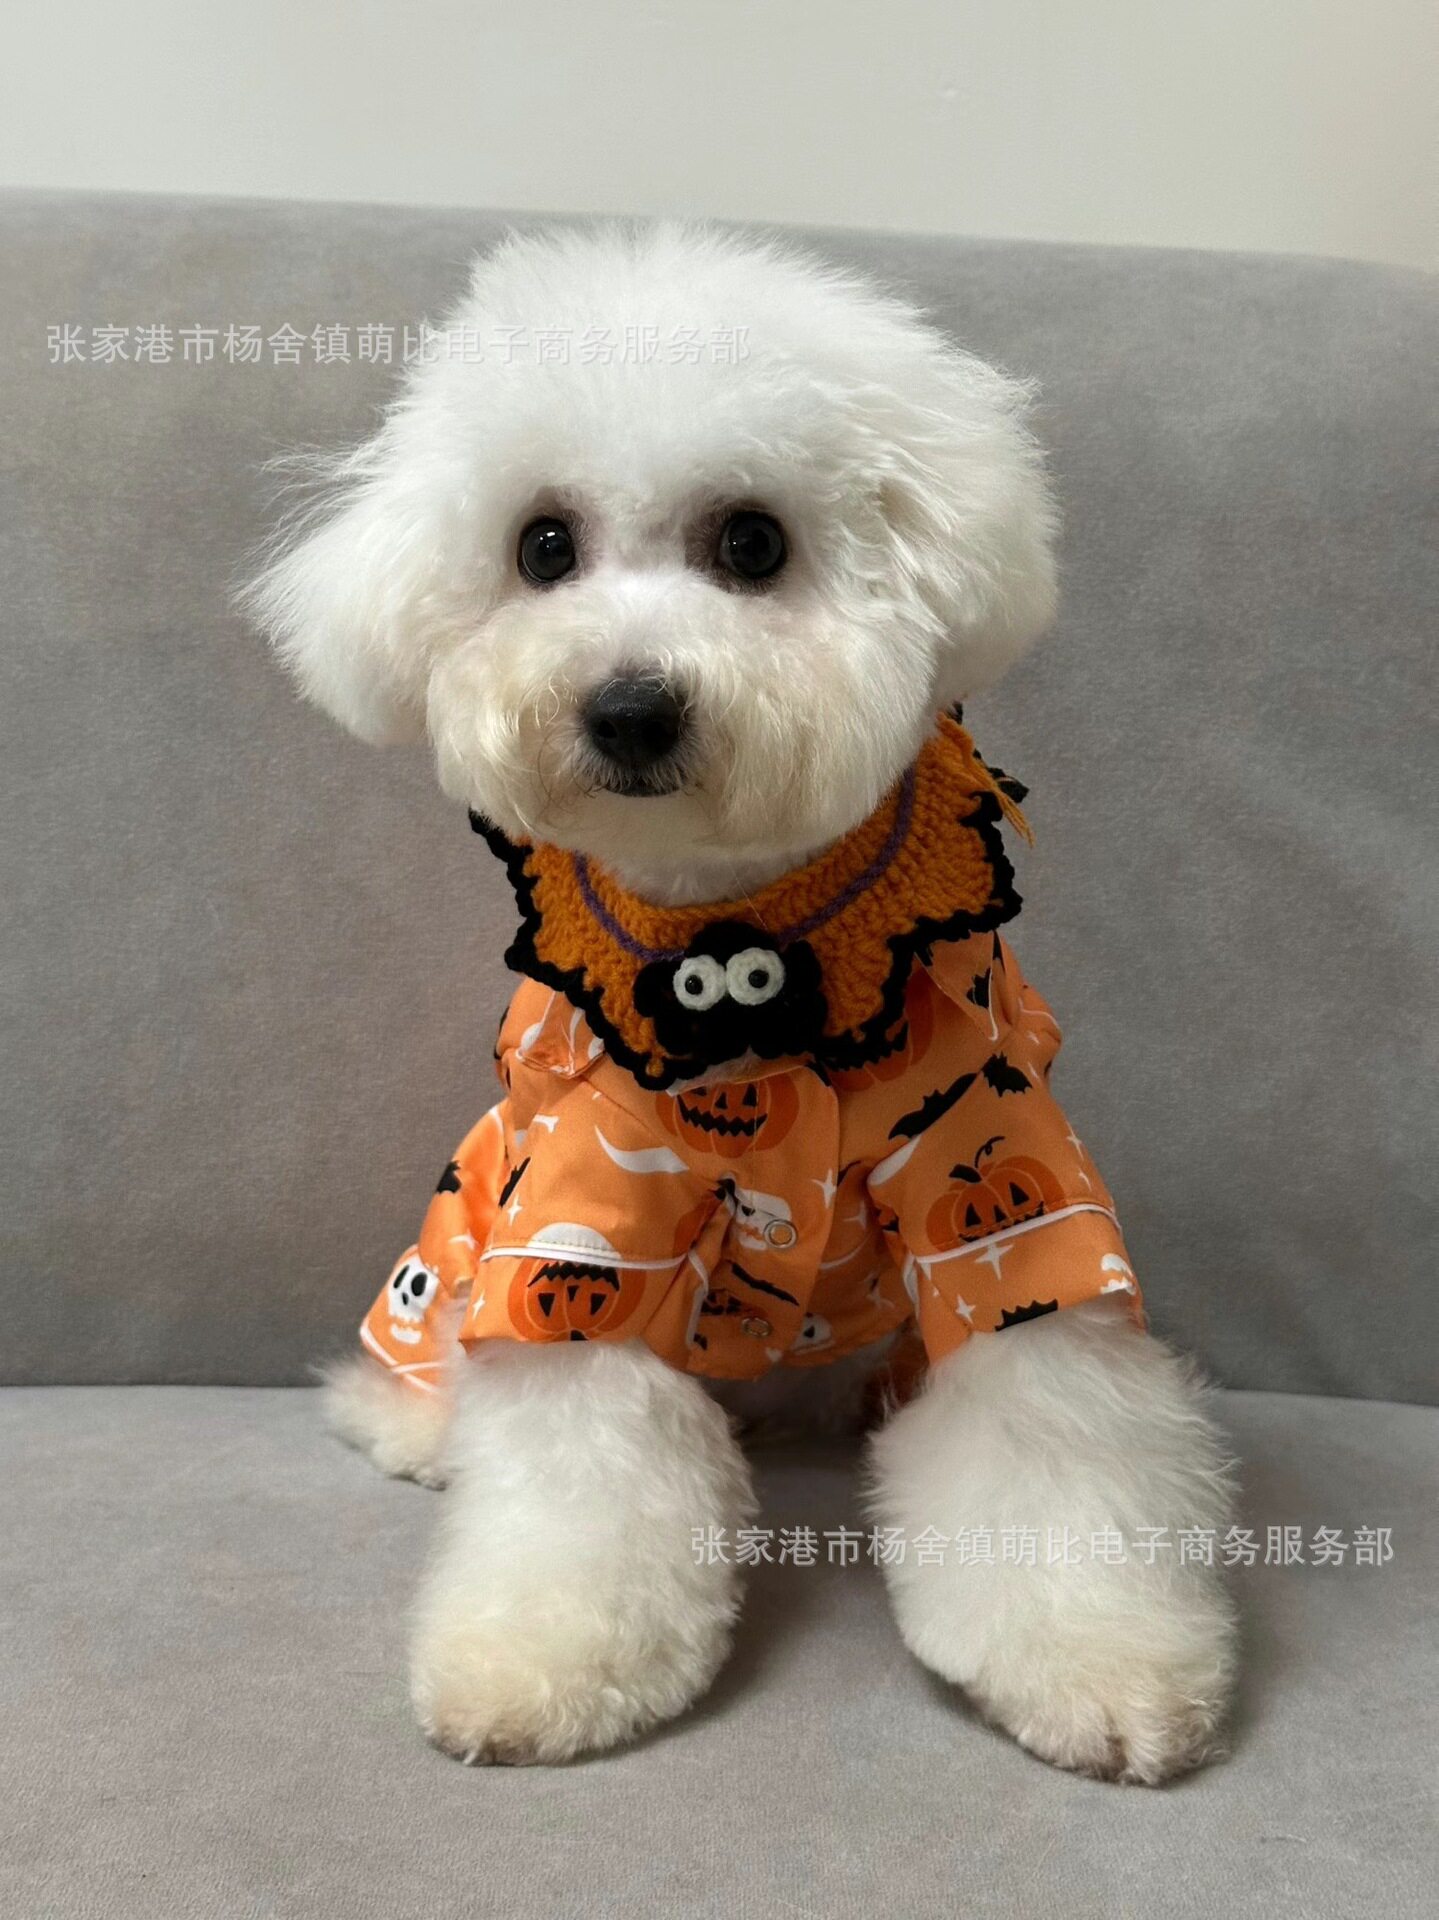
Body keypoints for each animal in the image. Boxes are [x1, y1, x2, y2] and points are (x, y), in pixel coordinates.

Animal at [249, 223, 1237, 1779]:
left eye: (752, 543)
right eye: (541, 547)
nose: (629, 707)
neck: (747, 945)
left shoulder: (999, 1190)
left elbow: (1042, 1422)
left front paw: (1100, 1659)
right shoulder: (583, 1221)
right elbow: (582, 1460)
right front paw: (541, 1663)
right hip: (459, 1228)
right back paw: (415, 1420)